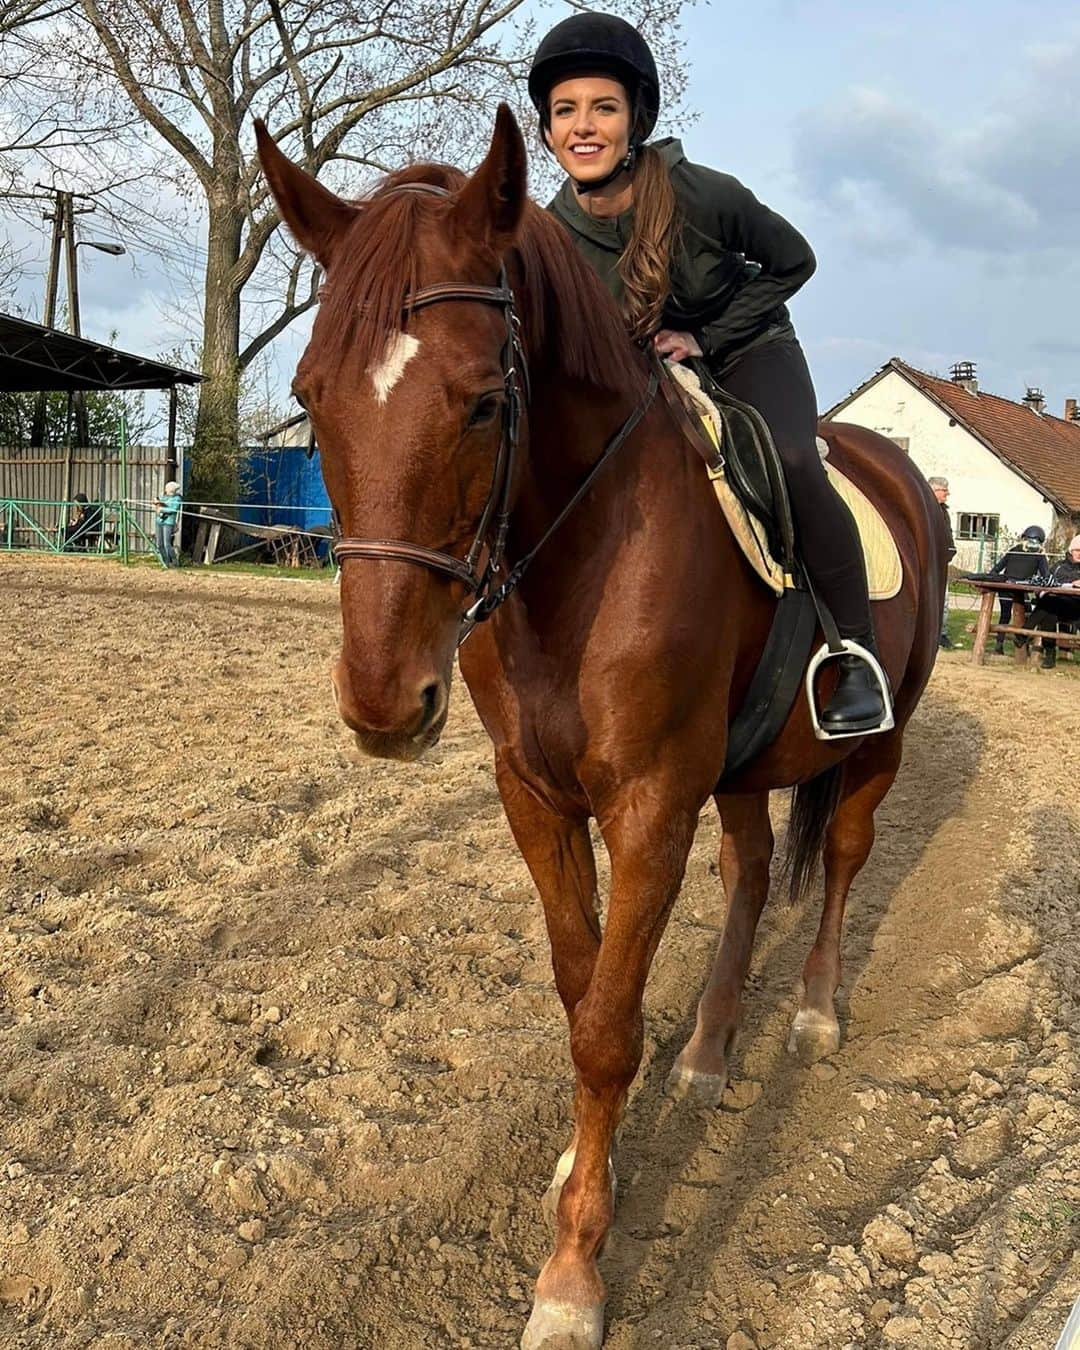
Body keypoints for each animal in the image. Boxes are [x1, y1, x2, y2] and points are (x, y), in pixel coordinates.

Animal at [257, 108, 950, 1350]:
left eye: (485, 400)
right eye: (312, 390)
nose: (385, 705)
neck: (573, 563)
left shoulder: (649, 805)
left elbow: (608, 1027)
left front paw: (574, 1272)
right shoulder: (537, 796)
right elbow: (584, 992)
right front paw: (590, 1168)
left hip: (879, 743)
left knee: (841, 857)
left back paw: (814, 1016)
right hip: (741, 770)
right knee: (751, 872)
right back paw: (711, 1053)